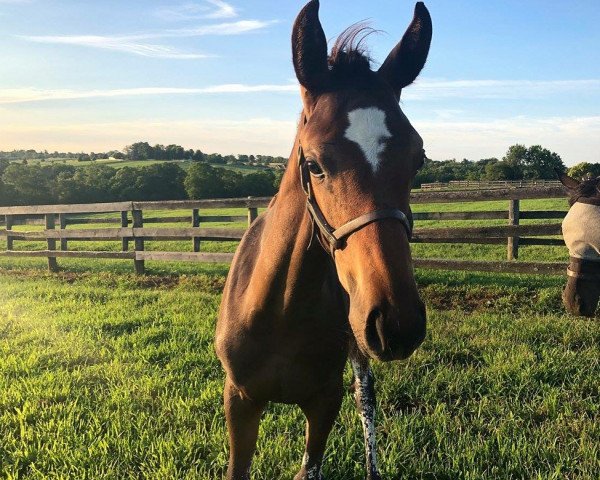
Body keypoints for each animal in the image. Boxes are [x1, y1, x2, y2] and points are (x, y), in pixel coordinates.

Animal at [216, 1, 432, 478]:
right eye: (313, 164)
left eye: (418, 159)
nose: (398, 322)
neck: (280, 309)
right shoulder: (239, 399)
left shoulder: (323, 402)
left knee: (366, 403)